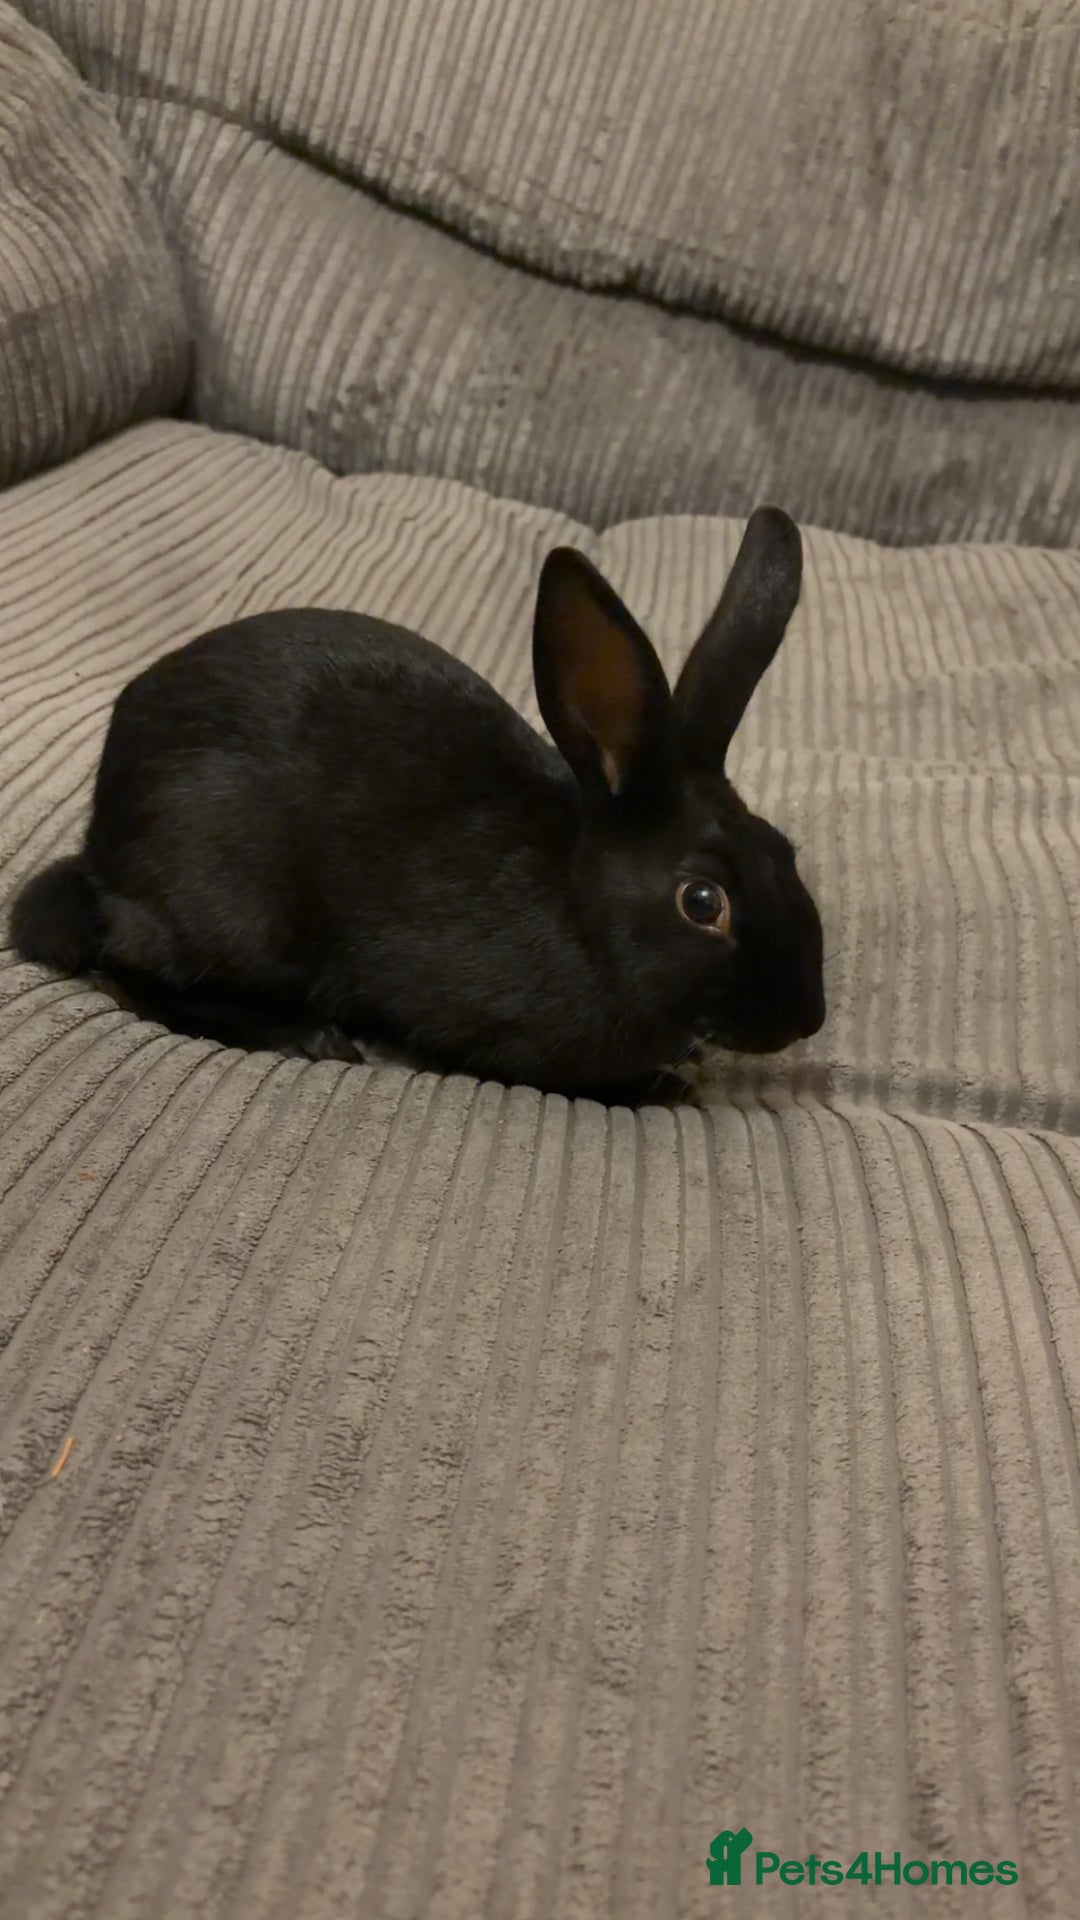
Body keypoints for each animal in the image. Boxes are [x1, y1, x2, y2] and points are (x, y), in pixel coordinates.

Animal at [10, 506, 825, 1102]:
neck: (585, 916)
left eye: (787, 853)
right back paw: (307, 1036)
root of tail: (100, 843)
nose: (807, 1020)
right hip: (231, 906)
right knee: (134, 968)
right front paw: (666, 1086)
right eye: (701, 901)